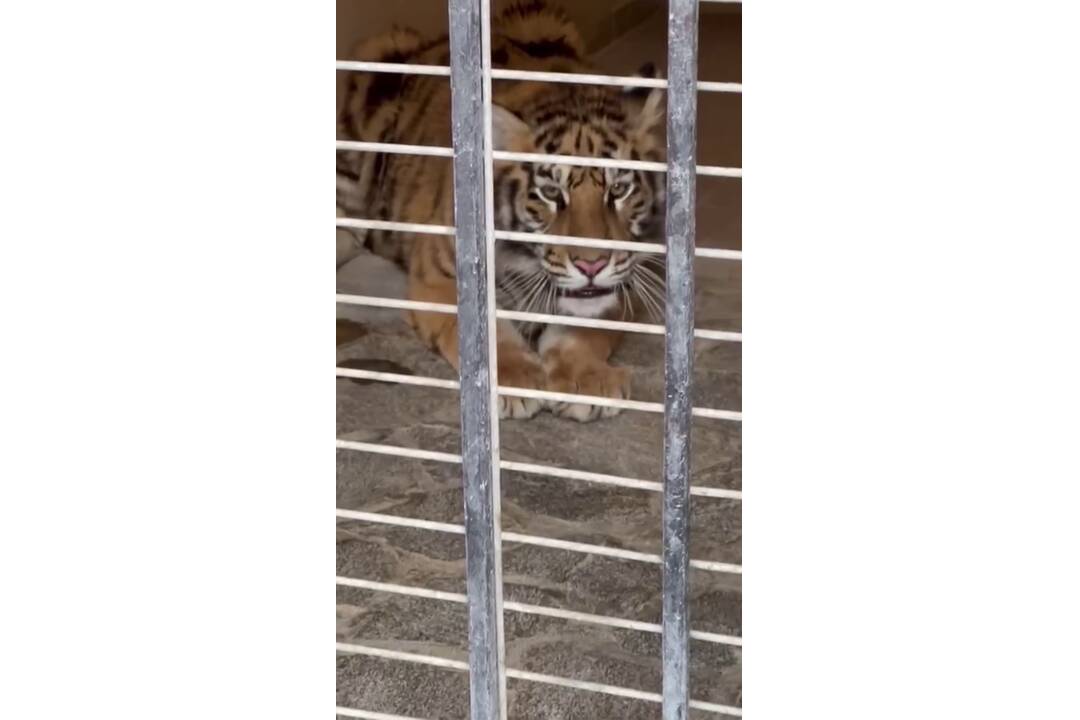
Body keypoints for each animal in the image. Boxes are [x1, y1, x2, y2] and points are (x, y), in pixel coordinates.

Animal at [337, 0, 667, 422]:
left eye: (619, 189)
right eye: (550, 192)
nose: (591, 265)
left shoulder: (630, 277)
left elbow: (586, 328)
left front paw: (586, 380)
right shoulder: (439, 279)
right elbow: (487, 338)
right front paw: (516, 381)